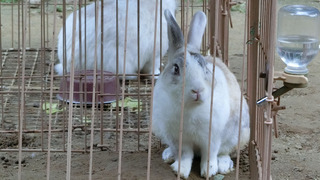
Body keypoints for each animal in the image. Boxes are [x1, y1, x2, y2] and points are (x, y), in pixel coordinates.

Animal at [151, 9, 251, 179]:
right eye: (176, 68)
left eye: (205, 68)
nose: (197, 90)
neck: (190, 106)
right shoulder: (179, 139)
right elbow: (185, 155)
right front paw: (180, 171)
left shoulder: (212, 137)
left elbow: (210, 154)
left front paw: (209, 171)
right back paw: (168, 155)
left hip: (239, 134)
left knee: (225, 152)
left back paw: (224, 165)